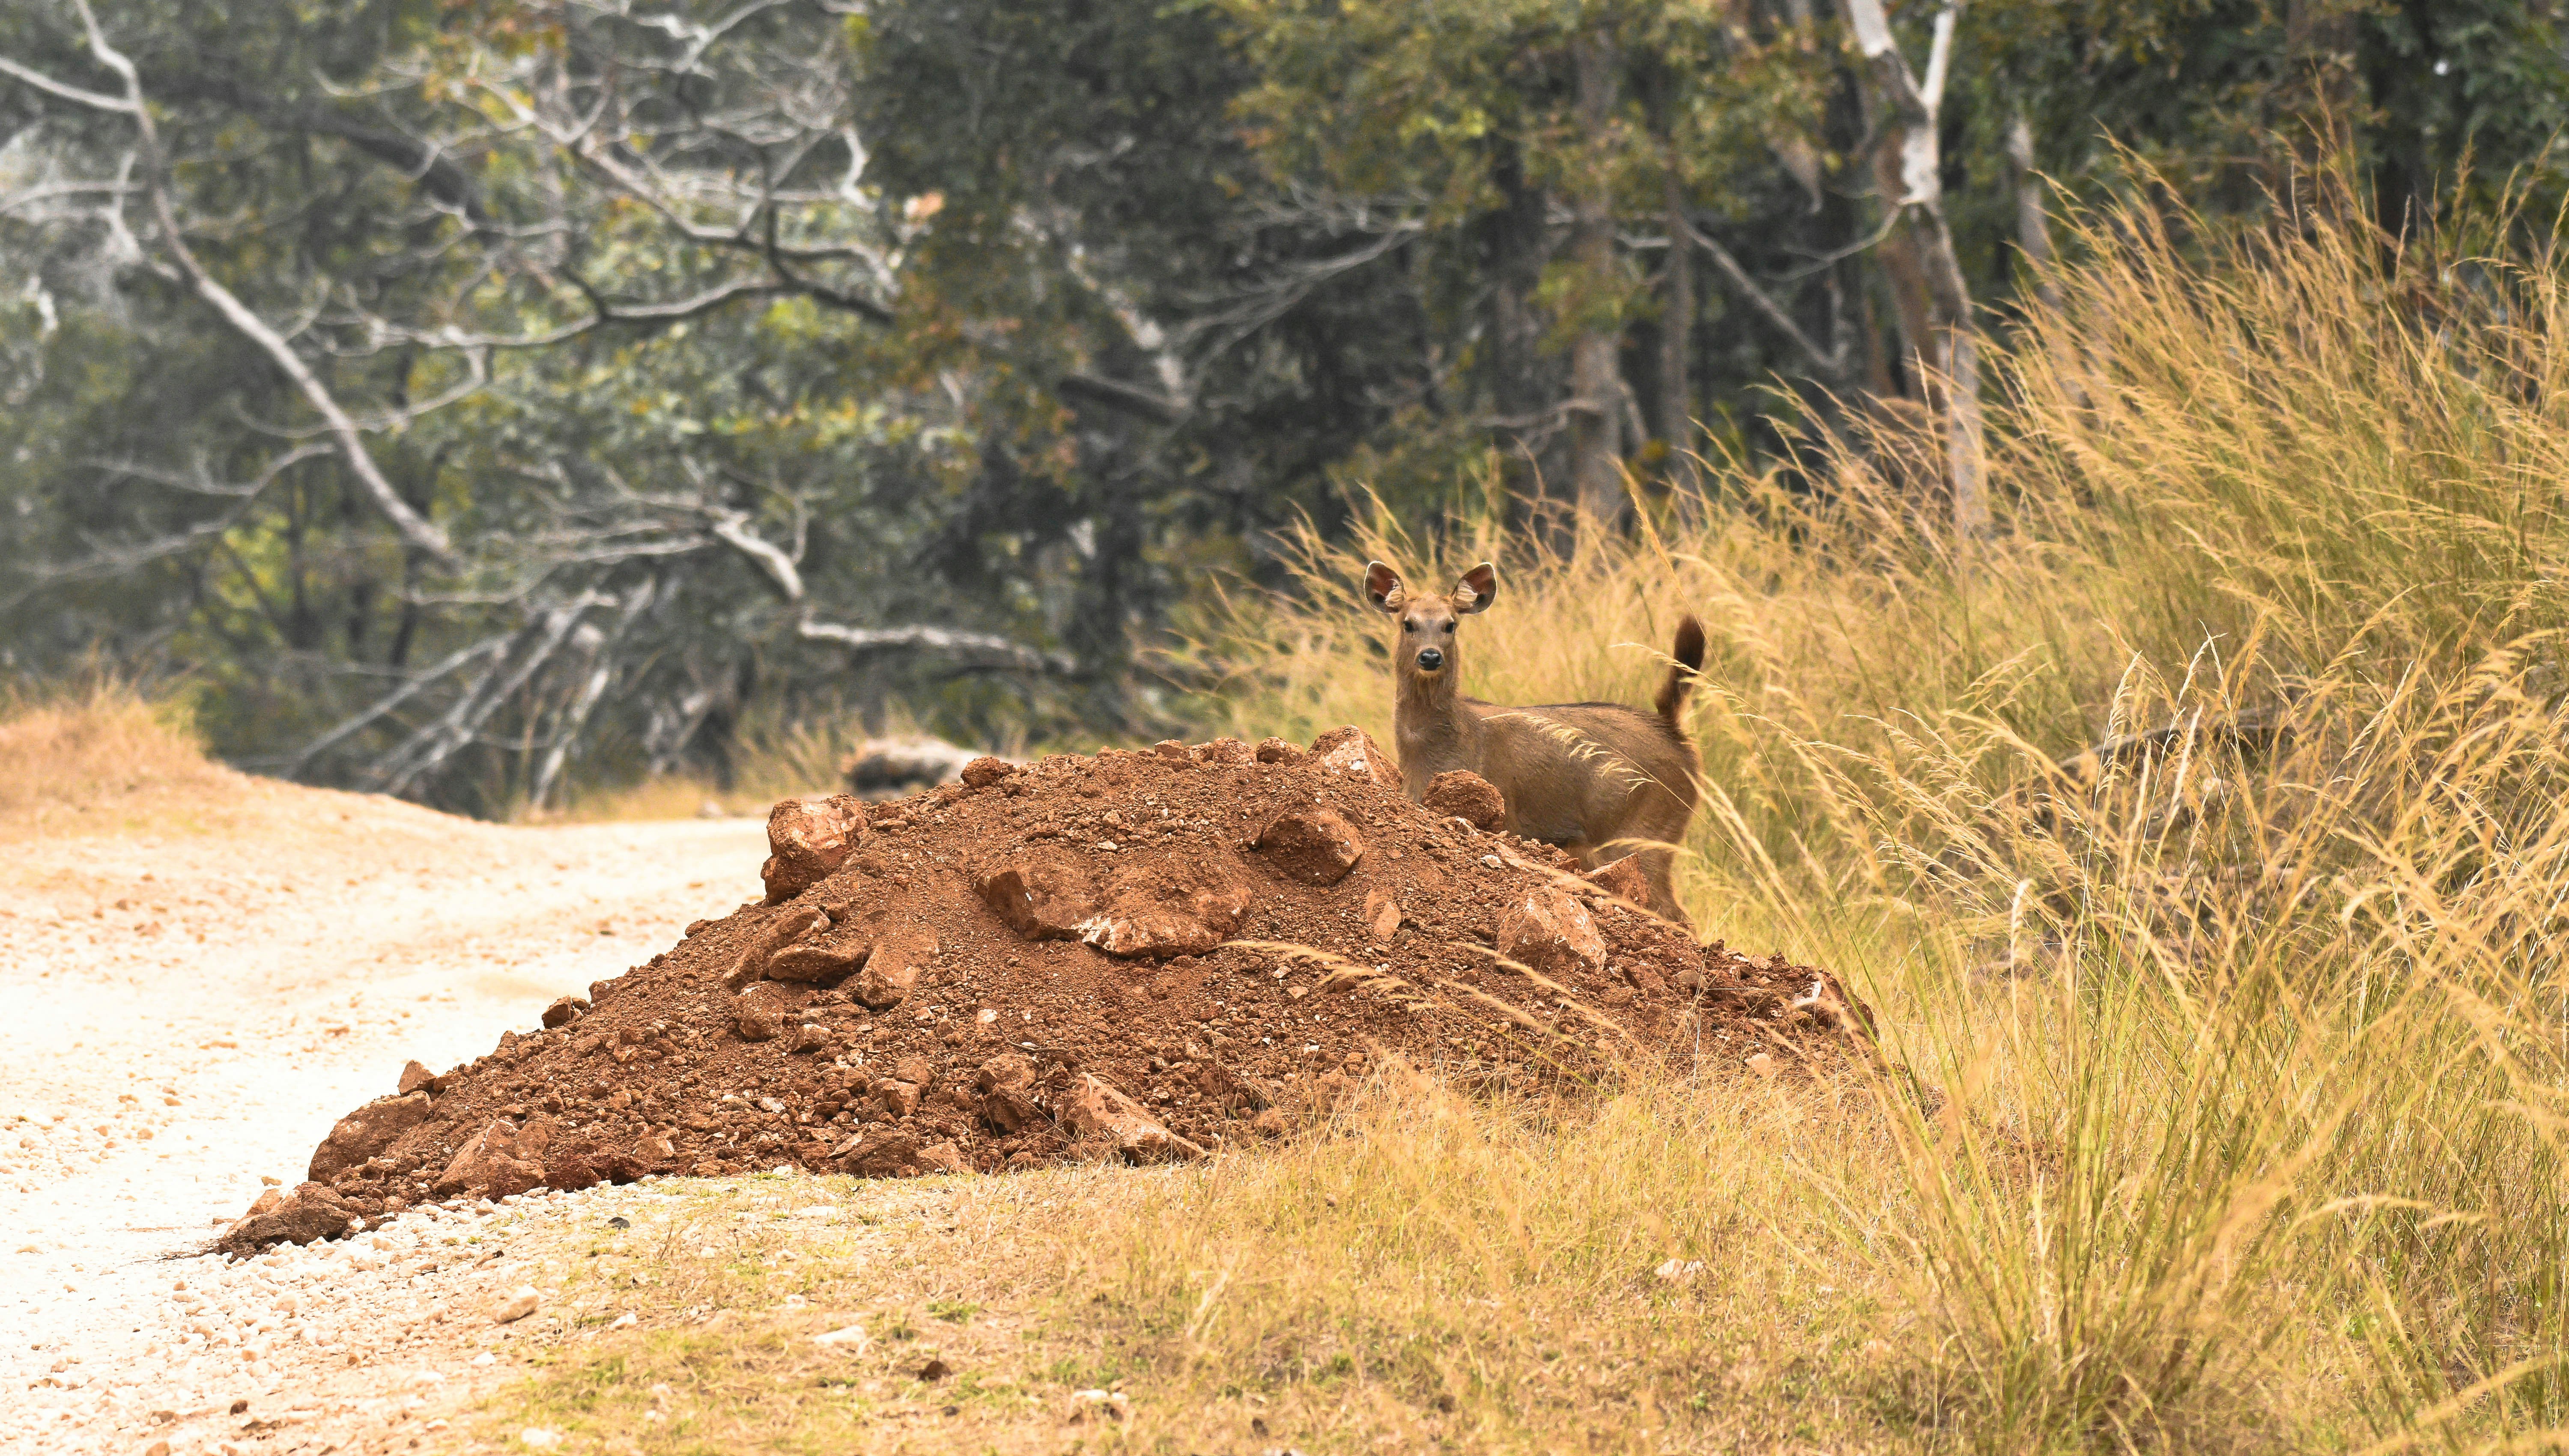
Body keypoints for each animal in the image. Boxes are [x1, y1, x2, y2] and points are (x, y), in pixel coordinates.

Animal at [1364, 560, 1707, 923]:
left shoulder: (1506, 817)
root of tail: (1671, 731)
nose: (1430, 657)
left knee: (1677, 916)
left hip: (1646, 832)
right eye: (1408, 624)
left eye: (1450, 625)